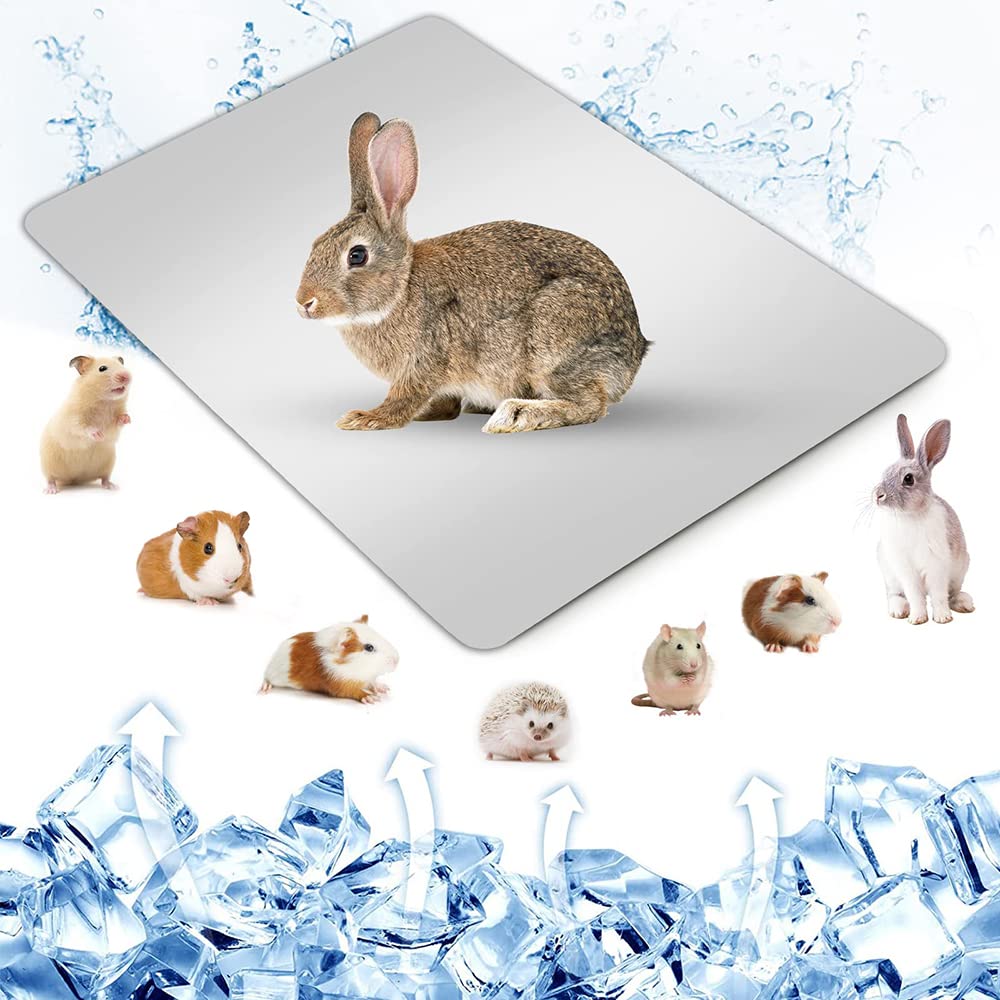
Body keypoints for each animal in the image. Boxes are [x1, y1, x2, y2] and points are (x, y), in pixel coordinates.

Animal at [41, 355, 132, 493]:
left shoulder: (113, 427)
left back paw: (112, 486)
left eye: (122, 365)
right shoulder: (72, 418)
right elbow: (82, 427)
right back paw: (51, 490)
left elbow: (117, 423)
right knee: (51, 478)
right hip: (48, 463)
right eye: (102, 368)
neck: (105, 401)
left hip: (108, 463)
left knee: (104, 478)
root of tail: (75, 479)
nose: (126, 376)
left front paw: (127, 418)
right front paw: (98, 434)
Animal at [259, 616, 399, 702]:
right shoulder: (340, 684)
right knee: (266, 679)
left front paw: (384, 688)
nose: (397, 660)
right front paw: (372, 699)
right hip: (271, 676)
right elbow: (355, 692)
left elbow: (372, 682)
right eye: (369, 647)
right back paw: (263, 691)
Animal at [295, 111, 650, 434]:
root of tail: (634, 351)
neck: (401, 289)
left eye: (357, 255)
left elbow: (404, 397)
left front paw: (365, 418)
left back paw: (515, 415)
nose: (304, 302)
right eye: (316, 244)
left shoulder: (426, 360)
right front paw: (430, 414)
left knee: (589, 405)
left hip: (554, 340)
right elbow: (443, 402)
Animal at [873, 414, 973, 625]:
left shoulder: (937, 566)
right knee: (894, 594)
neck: (910, 515)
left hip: (960, 570)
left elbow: (938, 594)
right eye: (884, 472)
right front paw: (917, 618)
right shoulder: (906, 569)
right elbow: (915, 595)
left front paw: (943, 618)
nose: (877, 496)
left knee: (952, 593)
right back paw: (898, 610)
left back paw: (964, 603)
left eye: (908, 479)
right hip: (889, 573)